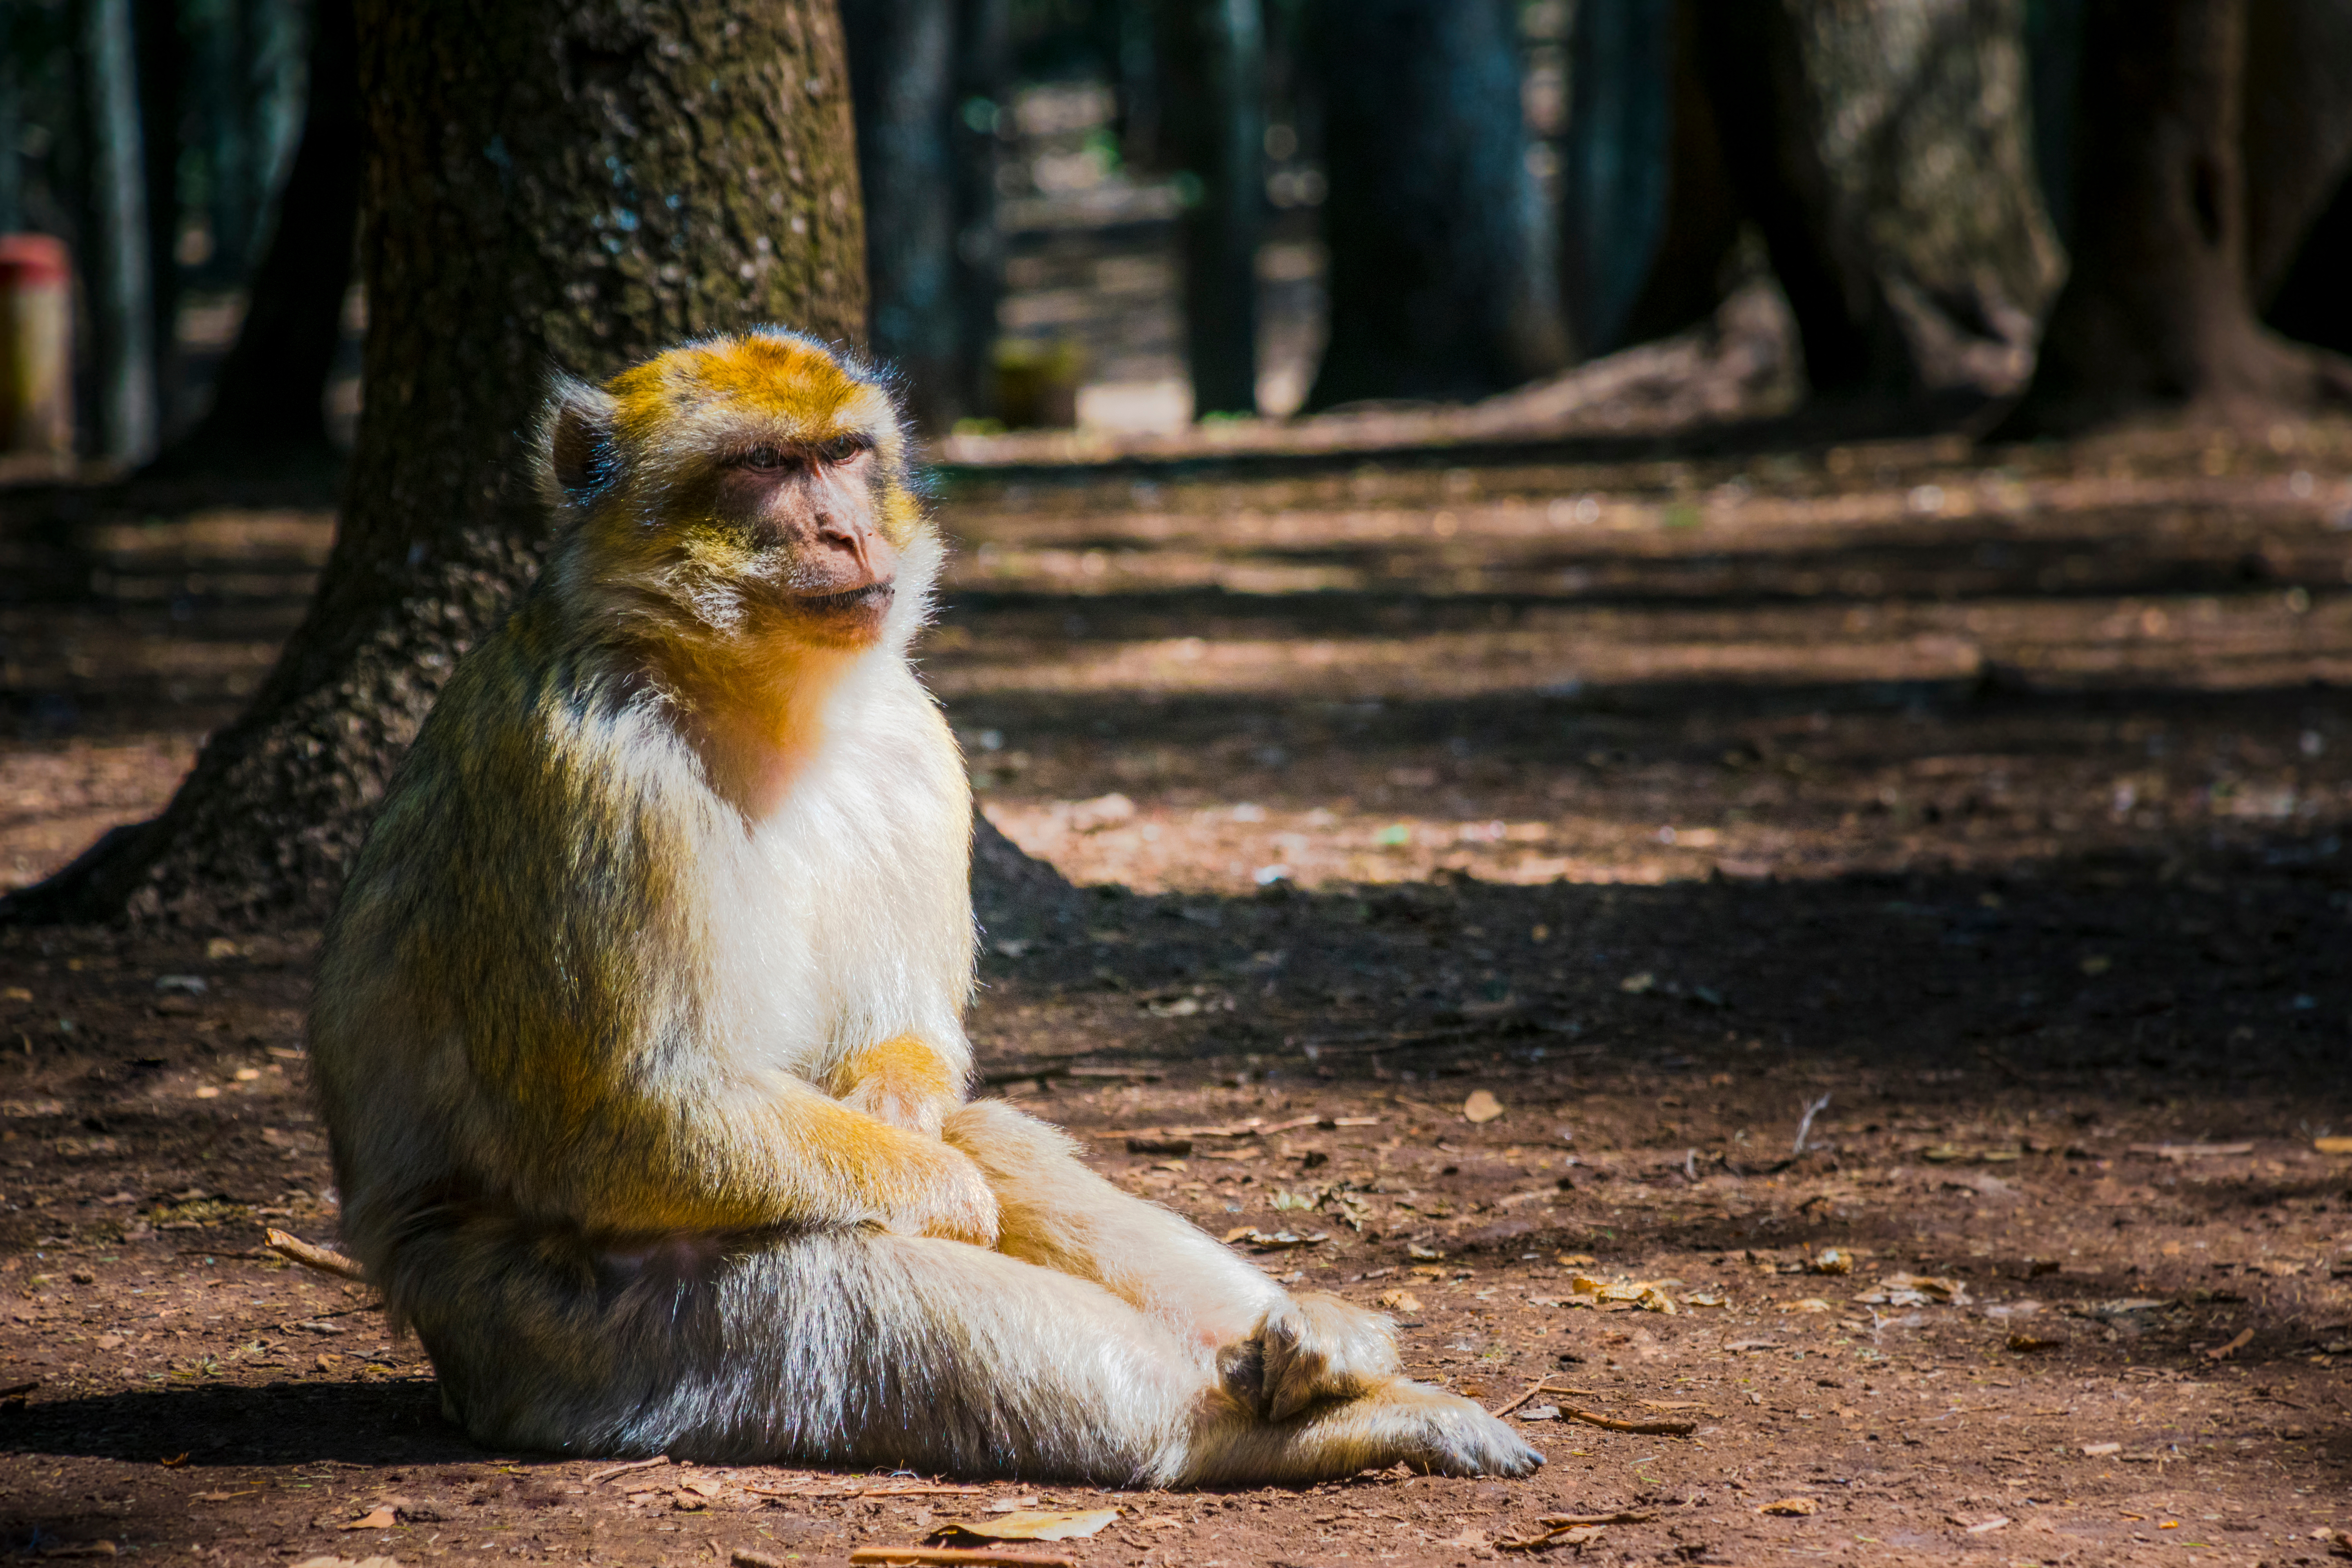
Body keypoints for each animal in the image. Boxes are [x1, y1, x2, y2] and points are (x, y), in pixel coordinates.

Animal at [306, 327, 1540, 1485]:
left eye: (845, 455)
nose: (848, 533)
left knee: (989, 1141)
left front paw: (910, 1121)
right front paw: (941, 1187)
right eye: (763, 465)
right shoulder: (595, 774)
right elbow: (633, 1114)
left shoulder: (913, 740)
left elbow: (910, 1048)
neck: (749, 701)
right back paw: (1236, 1429)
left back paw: (1322, 1357)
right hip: (570, 1335)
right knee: (849, 1277)